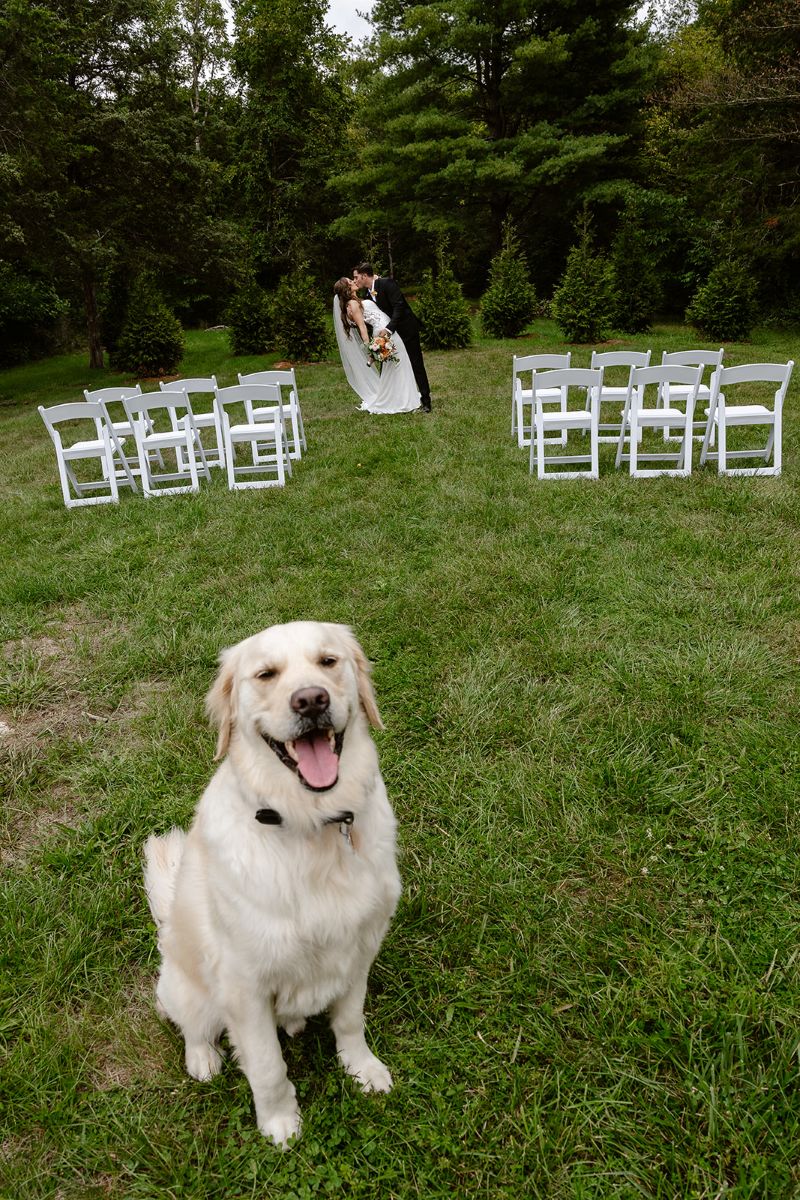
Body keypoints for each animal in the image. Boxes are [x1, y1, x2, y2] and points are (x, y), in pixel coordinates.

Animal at [143, 624, 400, 1147]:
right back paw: (203, 1059)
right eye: (266, 674)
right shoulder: (245, 986)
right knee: (189, 1024)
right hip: (185, 986)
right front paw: (280, 1123)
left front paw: (362, 1070)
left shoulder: (360, 948)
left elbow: (350, 1021)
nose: (311, 700)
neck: (311, 824)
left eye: (328, 661)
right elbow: (266, 1066)